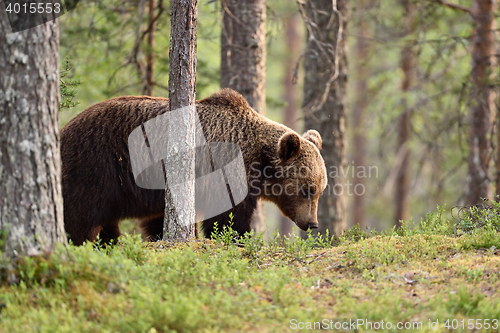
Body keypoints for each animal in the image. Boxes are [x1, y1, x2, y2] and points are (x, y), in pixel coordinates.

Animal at [61, 88, 328, 244]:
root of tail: (63, 129)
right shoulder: (224, 173)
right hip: (96, 165)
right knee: (80, 216)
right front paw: (236, 239)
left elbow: (159, 220)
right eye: (308, 189)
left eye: (320, 190)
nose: (312, 223)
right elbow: (229, 218)